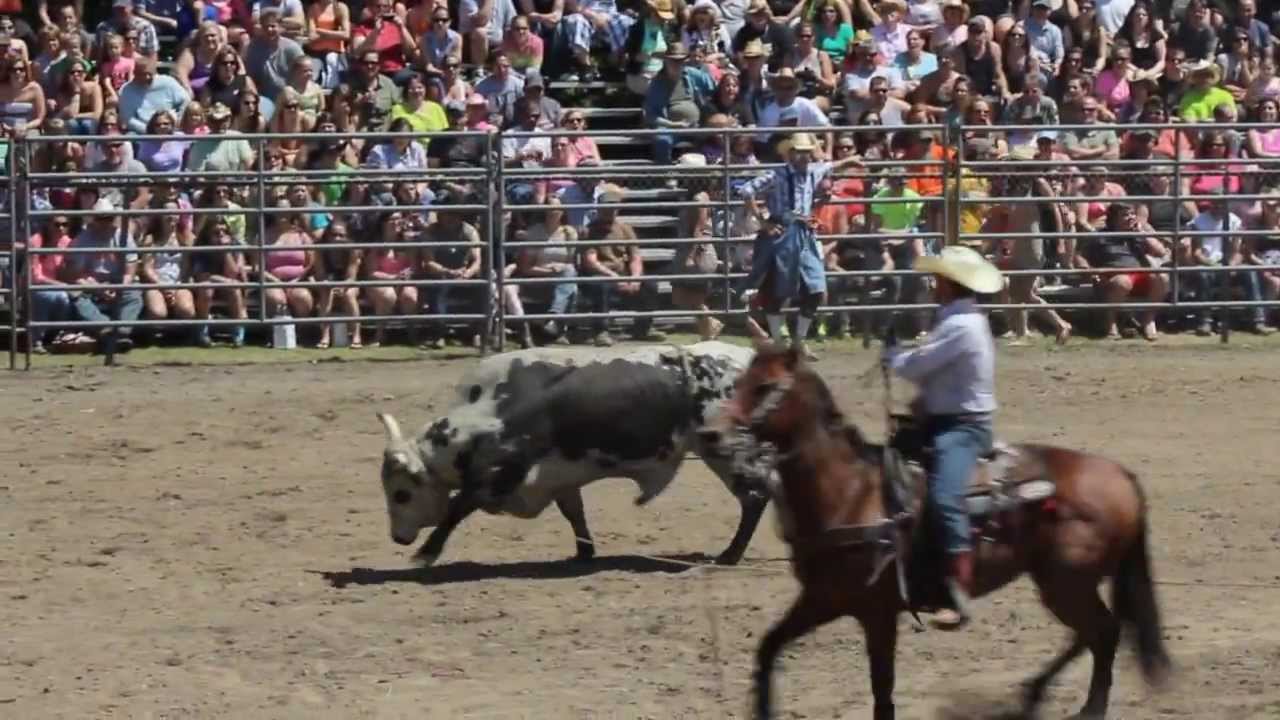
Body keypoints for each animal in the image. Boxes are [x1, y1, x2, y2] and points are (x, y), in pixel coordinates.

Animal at [374, 341, 771, 567]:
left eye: (401, 493)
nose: (397, 538)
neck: (489, 411)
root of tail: (749, 359)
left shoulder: (500, 474)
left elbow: (458, 507)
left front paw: (425, 553)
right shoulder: (559, 478)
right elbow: (573, 514)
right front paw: (584, 553)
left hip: (726, 450)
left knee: (754, 498)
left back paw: (730, 555)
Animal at [700, 344, 1173, 720]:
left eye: (765, 387)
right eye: (739, 381)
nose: (710, 432)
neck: (849, 491)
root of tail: (1120, 474)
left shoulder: (876, 610)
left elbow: (882, 689)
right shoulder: (821, 598)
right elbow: (768, 648)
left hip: (1067, 581)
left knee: (1103, 632)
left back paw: (1086, 707)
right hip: (1061, 581)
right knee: (1093, 633)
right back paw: (1034, 694)